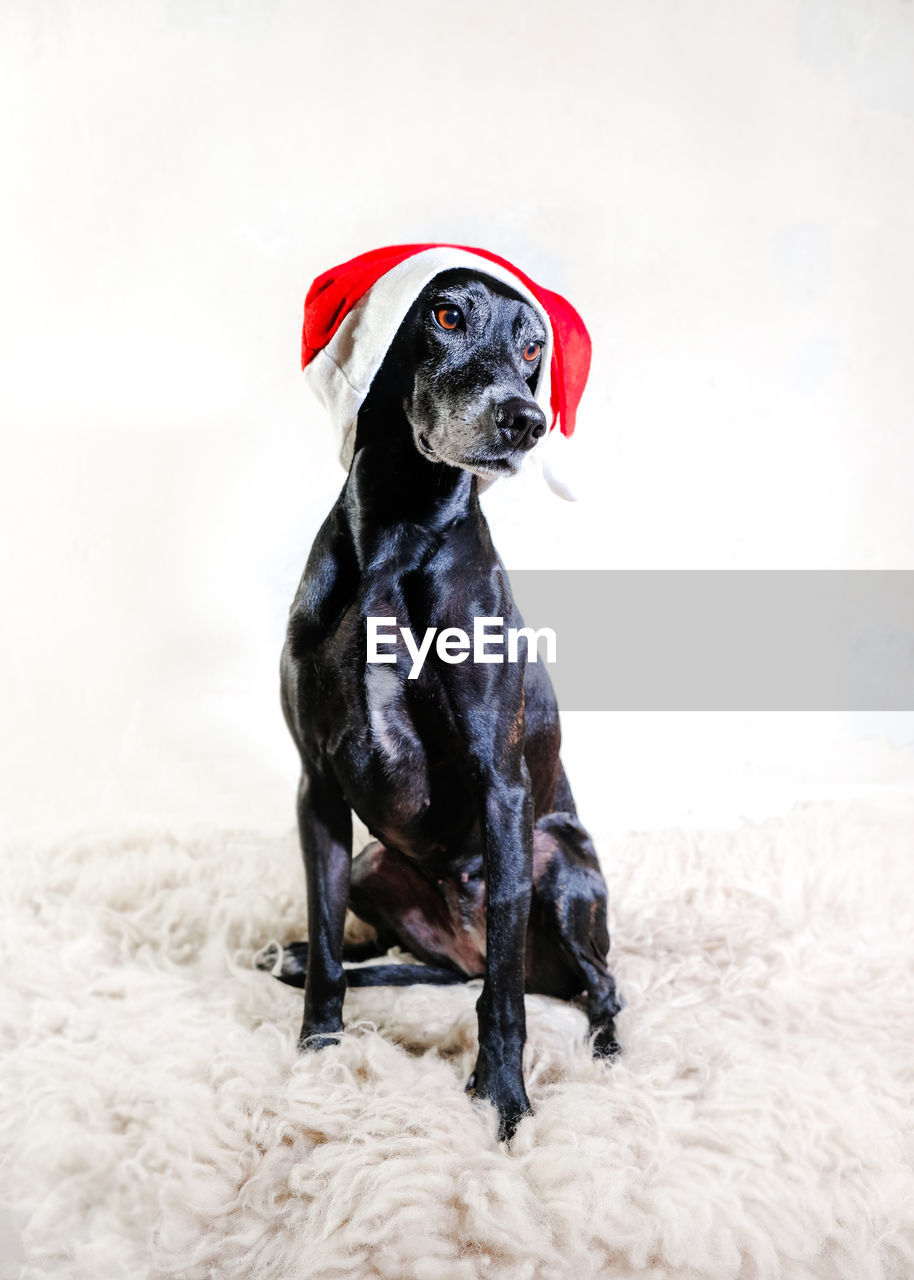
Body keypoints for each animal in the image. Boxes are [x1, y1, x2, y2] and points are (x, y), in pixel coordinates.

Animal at [267, 264, 617, 1136]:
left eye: (534, 347)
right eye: (448, 315)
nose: (526, 421)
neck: (398, 535)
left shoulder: (503, 789)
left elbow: (503, 1001)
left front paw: (504, 1101)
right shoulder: (316, 786)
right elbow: (330, 945)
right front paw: (317, 1052)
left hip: (558, 869)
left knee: (588, 986)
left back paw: (606, 1055)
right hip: (372, 865)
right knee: (420, 967)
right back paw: (296, 960)